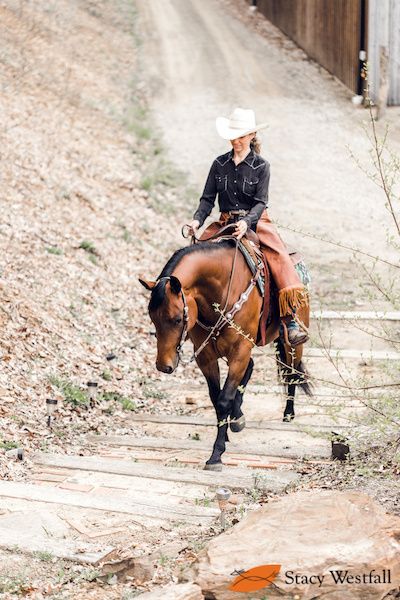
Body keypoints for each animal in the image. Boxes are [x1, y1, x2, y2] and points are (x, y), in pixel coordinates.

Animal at [139, 236, 310, 474]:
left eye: (177, 319)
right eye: (152, 318)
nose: (163, 366)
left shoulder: (240, 350)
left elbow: (223, 400)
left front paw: (216, 455)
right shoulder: (206, 356)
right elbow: (216, 397)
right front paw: (229, 427)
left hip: (290, 341)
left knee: (291, 371)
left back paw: (288, 413)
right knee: (252, 367)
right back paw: (237, 417)